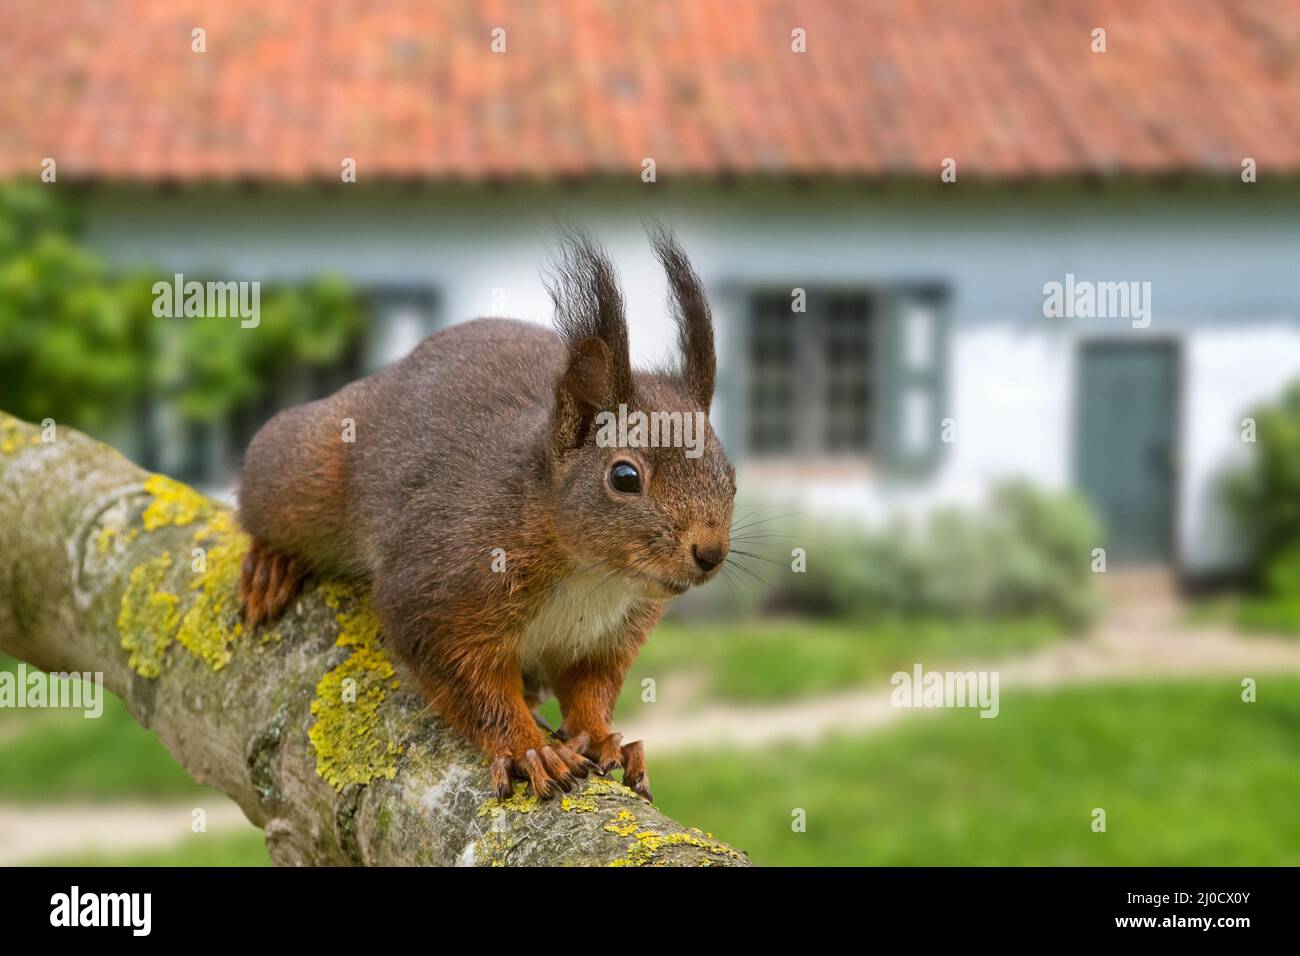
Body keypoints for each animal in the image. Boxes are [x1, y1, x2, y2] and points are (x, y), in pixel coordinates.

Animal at [235, 227, 738, 806]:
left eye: (730, 472)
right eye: (625, 477)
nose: (710, 552)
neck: (589, 573)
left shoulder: (612, 633)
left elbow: (591, 686)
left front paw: (603, 737)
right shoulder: (442, 584)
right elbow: (468, 682)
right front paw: (529, 749)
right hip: (306, 471)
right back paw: (270, 564)